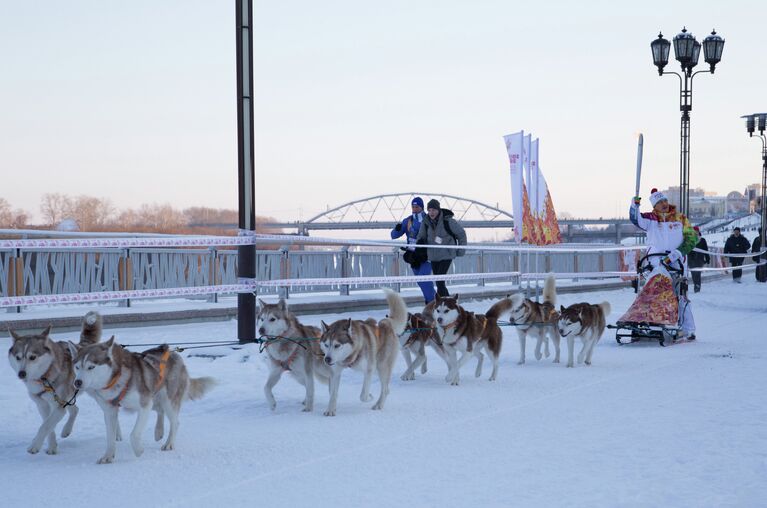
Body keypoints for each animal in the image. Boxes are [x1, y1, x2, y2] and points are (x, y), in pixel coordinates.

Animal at [7, 312, 103, 454]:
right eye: (18, 357)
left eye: (32, 357)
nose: (21, 374)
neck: (44, 377)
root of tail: (82, 347)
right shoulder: (43, 405)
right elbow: (48, 426)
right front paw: (52, 447)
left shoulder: (57, 406)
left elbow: (45, 426)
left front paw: (34, 445)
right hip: (68, 397)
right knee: (75, 409)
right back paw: (66, 430)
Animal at [70, 338, 216, 464]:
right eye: (77, 367)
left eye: (91, 367)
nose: (77, 382)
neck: (116, 379)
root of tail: (174, 353)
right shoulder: (110, 411)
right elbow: (110, 437)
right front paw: (108, 456)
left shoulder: (144, 405)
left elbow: (134, 434)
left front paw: (138, 450)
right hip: (155, 397)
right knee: (160, 411)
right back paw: (158, 431)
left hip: (168, 400)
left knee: (175, 422)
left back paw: (169, 443)